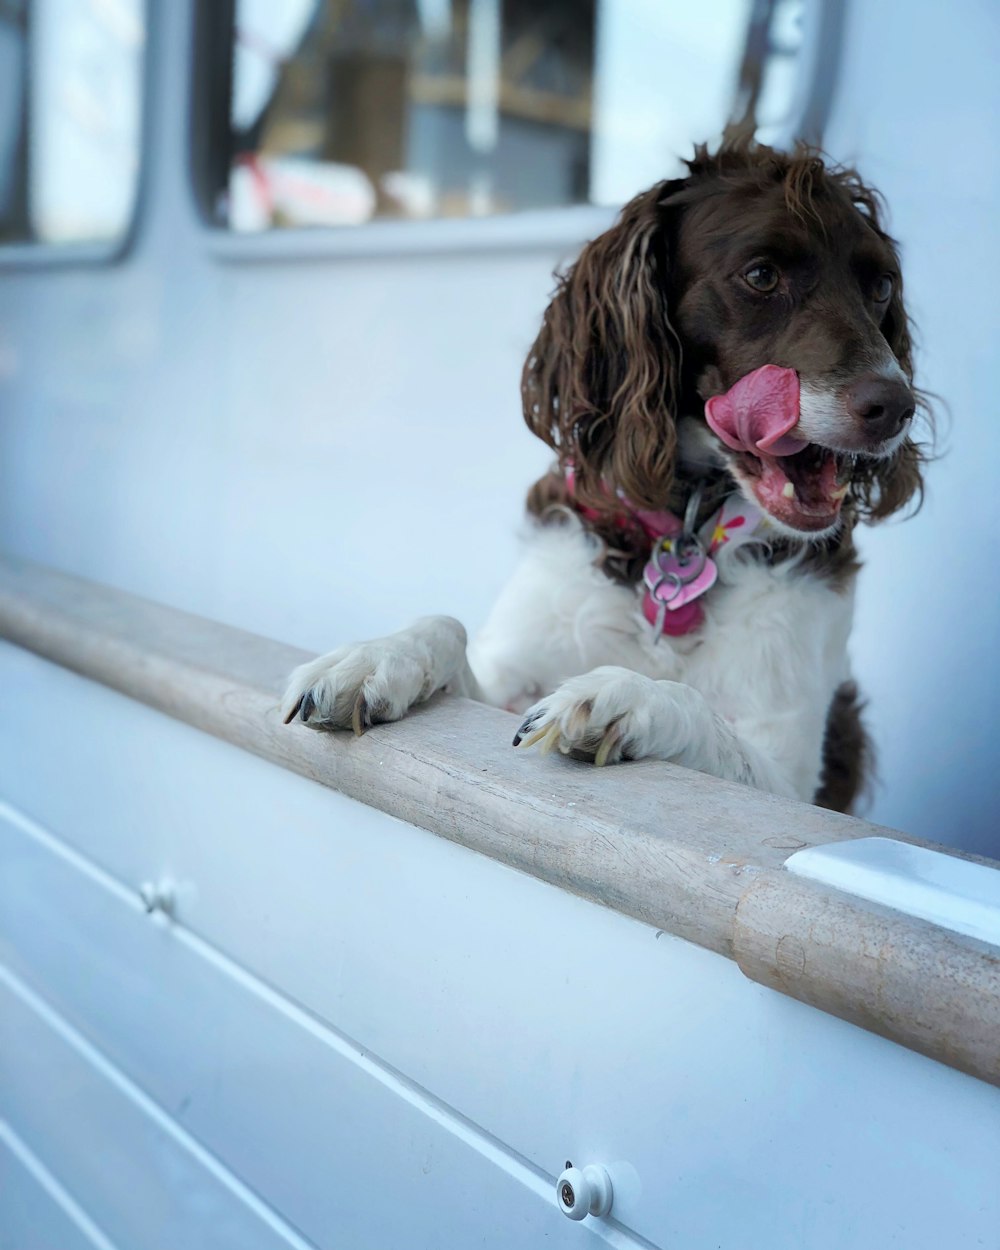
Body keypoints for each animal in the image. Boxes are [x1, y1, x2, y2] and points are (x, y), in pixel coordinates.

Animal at [281, 136, 920, 810]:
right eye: (762, 275)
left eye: (881, 286)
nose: (896, 406)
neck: (686, 530)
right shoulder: (505, 680)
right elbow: (448, 627)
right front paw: (369, 658)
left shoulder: (790, 779)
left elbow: (703, 716)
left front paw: (627, 694)